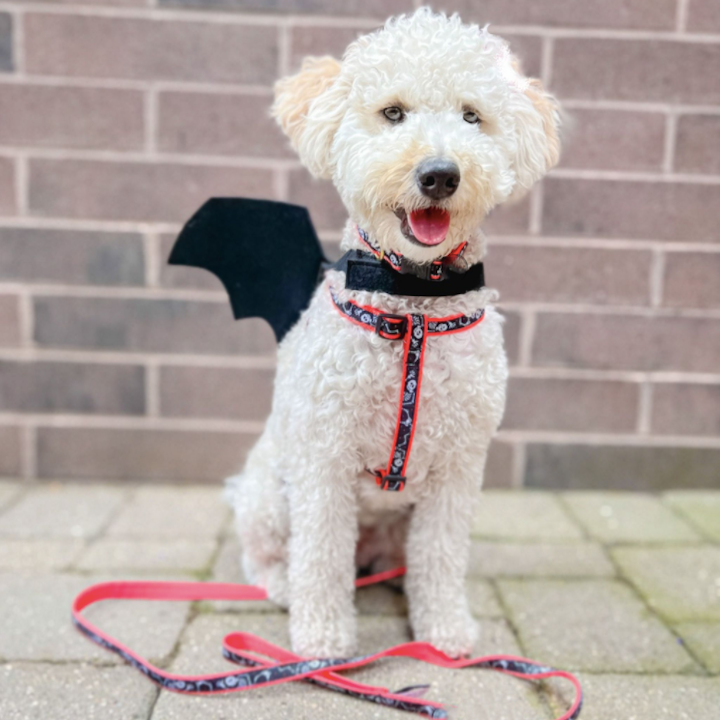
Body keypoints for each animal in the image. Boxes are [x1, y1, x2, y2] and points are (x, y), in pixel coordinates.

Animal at [228, 7, 560, 660]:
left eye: (471, 116)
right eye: (392, 112)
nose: (439, 174)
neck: (415, 297)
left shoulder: (459, 466)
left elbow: (442, 556)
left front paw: (445, 630)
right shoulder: (324, 458)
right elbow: (320, 557)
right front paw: (324, 638)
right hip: (269, 493)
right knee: (272, 556)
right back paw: (281, 585)